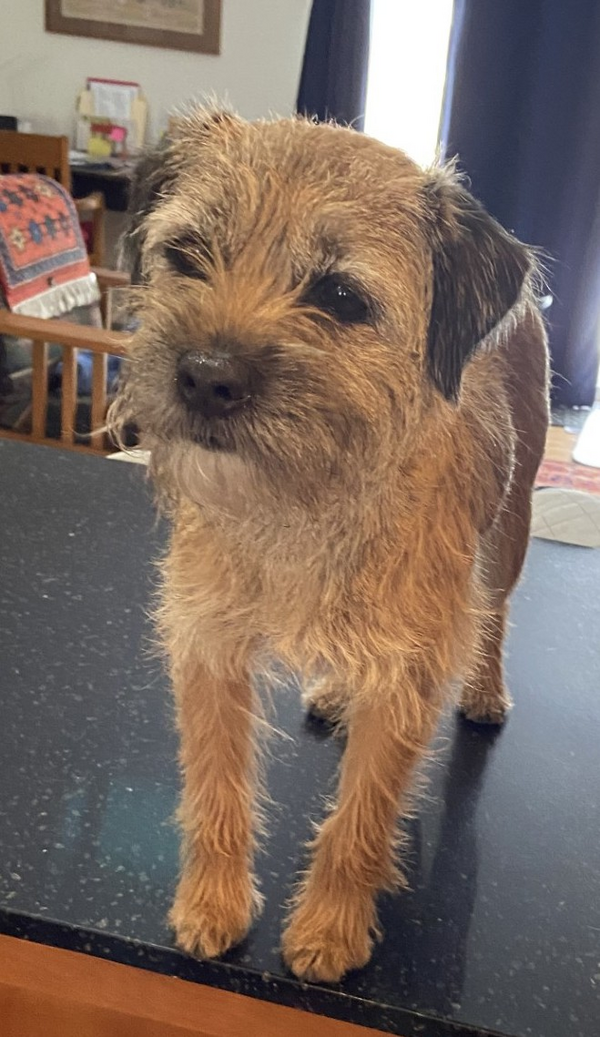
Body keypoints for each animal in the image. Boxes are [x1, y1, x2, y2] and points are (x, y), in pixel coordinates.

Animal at [109, 108, 549, 983]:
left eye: (341, 296)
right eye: (187, 254)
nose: (203, 375)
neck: (307, 500)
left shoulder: (408, 674)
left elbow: (361, 820)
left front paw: (330, 930)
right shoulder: (207, 644)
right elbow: (216, 787)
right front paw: (212, 904)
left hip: (511, 529)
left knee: (496, 614)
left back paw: (485, 688)